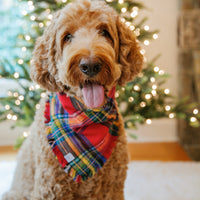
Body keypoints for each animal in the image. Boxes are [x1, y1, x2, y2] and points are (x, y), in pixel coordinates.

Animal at [1, 0, 142, 199]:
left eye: (104, 32)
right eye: (67, 36)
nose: (90, 65)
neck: (84, 116)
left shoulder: (113, 187)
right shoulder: (51, 187)